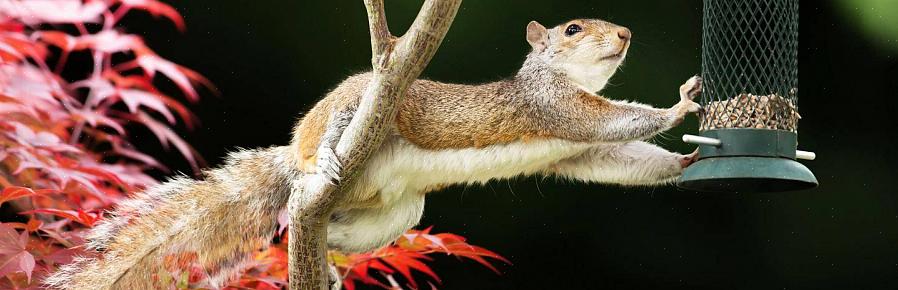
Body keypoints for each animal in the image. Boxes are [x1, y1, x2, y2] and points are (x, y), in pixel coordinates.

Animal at [45, 19, 700, 288]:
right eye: (571, 29)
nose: (625, 35)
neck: (564, 78)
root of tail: (293, 156)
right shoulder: (554, 108)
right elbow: (614, 120)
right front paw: (679, 109)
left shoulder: (574, 149)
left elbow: (613, 160)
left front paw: (687, 162)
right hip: (349, 108)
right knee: (325, 142)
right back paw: (326, 159)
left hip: (397, 212)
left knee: (320, 230)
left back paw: (326, 260)